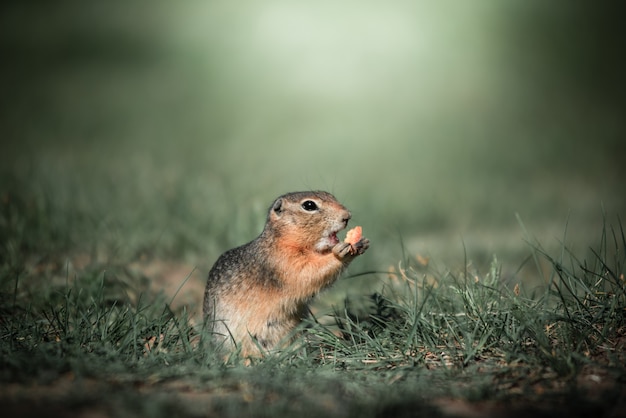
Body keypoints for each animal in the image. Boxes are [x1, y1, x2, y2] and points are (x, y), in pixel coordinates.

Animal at [202, 191, 368, 358]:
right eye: (309, 205)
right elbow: (307, 273)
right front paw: (341, 252)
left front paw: (362, 243)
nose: (347, 216)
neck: (284, 240)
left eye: (331, 195)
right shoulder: (283, 262)